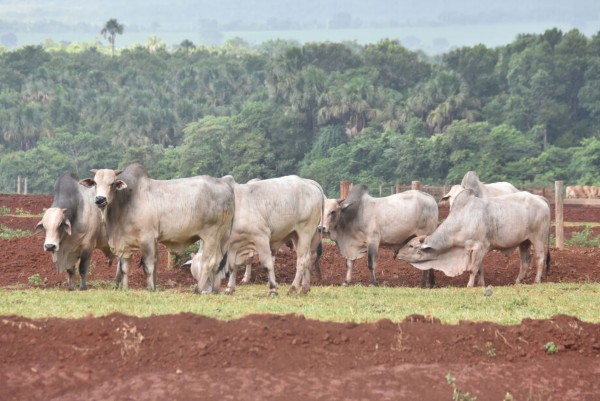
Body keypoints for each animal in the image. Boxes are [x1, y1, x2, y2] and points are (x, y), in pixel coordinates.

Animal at [396, 188, 552, 288]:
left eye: (411, 246)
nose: (397, 254)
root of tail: (540, 198)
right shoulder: (477, 249)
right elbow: (479, 268)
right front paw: (481, 284)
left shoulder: (479, 247)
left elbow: (472, 268)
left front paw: (470, 285)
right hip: (524, 242)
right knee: (525, 262)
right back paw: (517, 282)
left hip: (538, 238)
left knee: (540, 258)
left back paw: (537, 280)